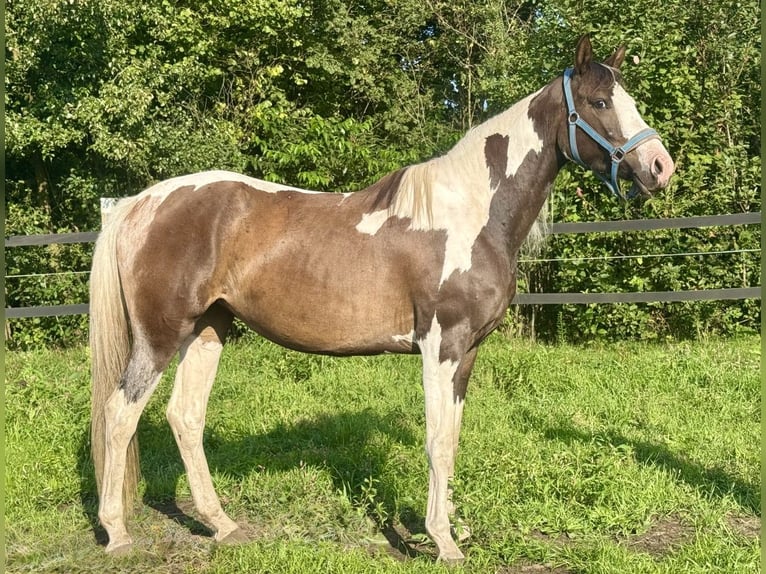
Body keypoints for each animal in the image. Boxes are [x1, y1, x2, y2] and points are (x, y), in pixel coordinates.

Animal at [90, 36, 674, 562]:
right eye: (599, 103)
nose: (661, 167)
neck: (472, 213)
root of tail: (141, 202)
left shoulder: (467, 353)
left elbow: (452, 438)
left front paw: (452, 529)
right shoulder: (441, 346)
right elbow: (437, 442)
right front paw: (442, 543)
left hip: (209, 330)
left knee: (185, 417)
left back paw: (222, 525)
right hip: (161, 337)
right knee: (119, 414)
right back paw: (116, 533)